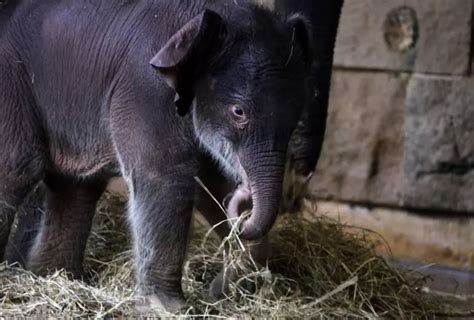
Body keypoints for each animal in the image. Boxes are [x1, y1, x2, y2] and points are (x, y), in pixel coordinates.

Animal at [0, 0, 312, 314]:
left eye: (298, 114)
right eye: (238, 112)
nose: (244, 203)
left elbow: (209, 184)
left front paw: (225, 292)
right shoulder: (144, 90)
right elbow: (167, 176)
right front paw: (170, 309)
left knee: (76, 187)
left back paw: (55, 277)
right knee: (19, 167)